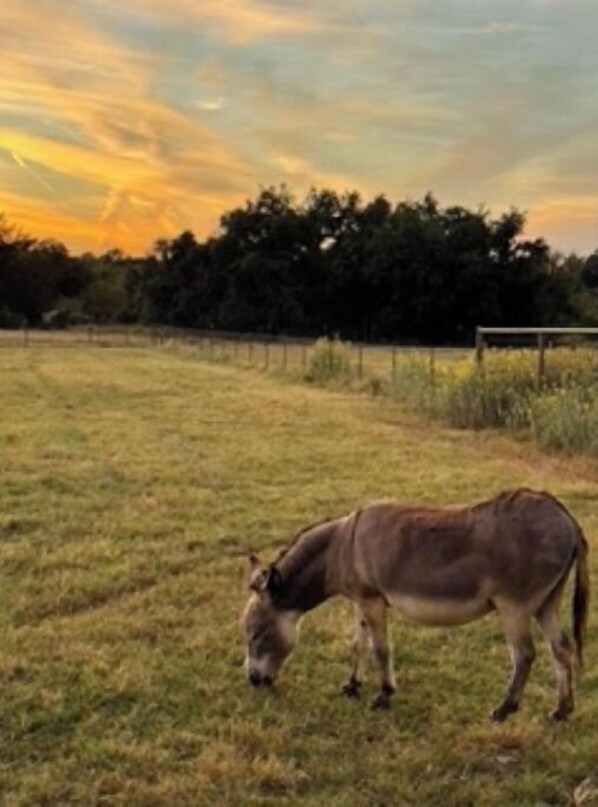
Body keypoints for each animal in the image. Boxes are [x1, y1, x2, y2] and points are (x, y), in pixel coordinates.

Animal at [241, 488, 589, 720]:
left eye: (255, 634)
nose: (253, 683)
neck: (340, 547)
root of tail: (564, 515)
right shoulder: (361, 599)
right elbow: (357, 644)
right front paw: (352, 686)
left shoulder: (372, 600)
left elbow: (380, 648)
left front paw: (384, 695)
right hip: (546, 601)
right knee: (561, 647)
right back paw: (562, 710)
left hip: (513, 606)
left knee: (525, 654)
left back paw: (505, 709)